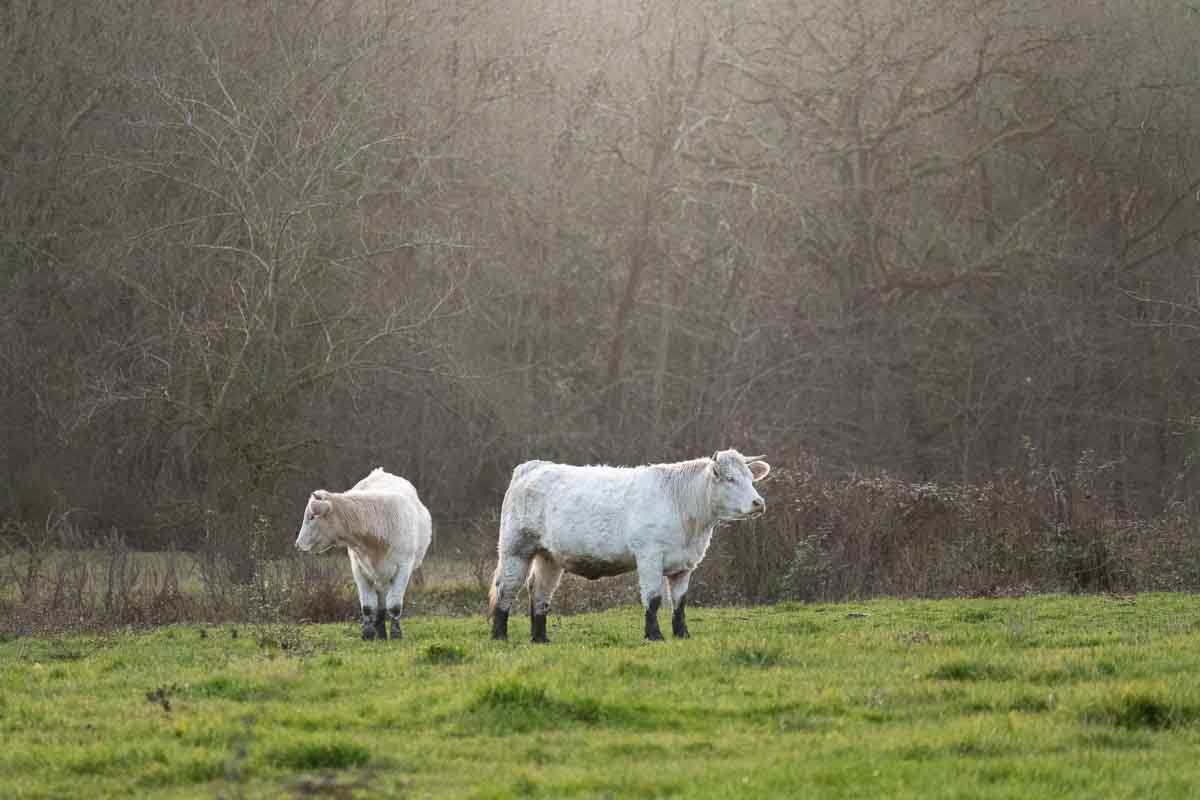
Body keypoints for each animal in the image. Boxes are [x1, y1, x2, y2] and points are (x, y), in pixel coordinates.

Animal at [294, 465, 434, 642]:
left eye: (311, 517)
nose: (298, 544)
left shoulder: (404, 567)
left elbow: (394, 605)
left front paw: (396, 634)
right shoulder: (358, 568)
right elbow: (368, 606)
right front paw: (367, 634)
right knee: (380, 603)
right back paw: (380, 632)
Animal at [487, 450, 768, 642]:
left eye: (751, 478)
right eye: (730, 479)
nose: (758, 503)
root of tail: (534, 466)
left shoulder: (685, 564)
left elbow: (680, 602)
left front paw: (682, 634)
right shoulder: (649, 556)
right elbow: (653, 598)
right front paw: (654, 636)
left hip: (549, 556)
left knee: (540, 591)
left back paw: (540, 638)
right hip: (516, 548)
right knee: (506, 589)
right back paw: (500, 636)